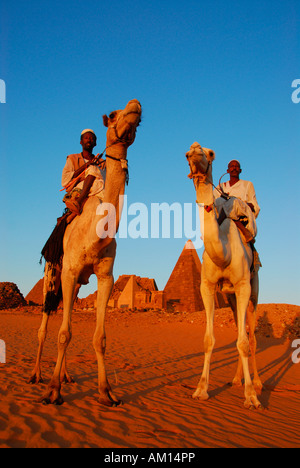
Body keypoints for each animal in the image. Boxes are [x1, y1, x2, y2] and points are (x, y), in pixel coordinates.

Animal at [33, 98, 141, 406]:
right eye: (114, 115)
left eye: (139, 120)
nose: (136, 105)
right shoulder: (68, 272)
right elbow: (63, 334)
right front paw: (53, 391)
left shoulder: (106, 277)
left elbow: (98, 338)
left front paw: (106, 392)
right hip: (52, 274)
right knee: (46, 325)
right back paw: (37, 376)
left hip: (77, 284)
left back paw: (67, 376)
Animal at [185, 143, 262, 410]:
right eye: (187, 154)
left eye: (209, 153)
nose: (194, 151)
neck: (224, 253)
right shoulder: (207, 287)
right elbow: (209, 339)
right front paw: (200, 389)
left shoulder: (243, 286)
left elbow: (244, 342)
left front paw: (251, 397)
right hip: (230, 299)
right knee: (242, 331)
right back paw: (237, 379)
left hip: (253, 293)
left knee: (251, 336)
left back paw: (256, 383)